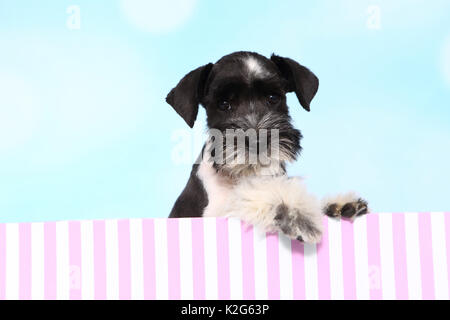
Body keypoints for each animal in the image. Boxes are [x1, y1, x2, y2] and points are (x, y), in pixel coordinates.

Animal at [167, 52, 368, 242]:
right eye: (224, 104)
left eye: (272, 97)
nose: (258, 141)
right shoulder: (213, 215)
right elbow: (256, 196)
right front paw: (297, 215)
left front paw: (338, 206)